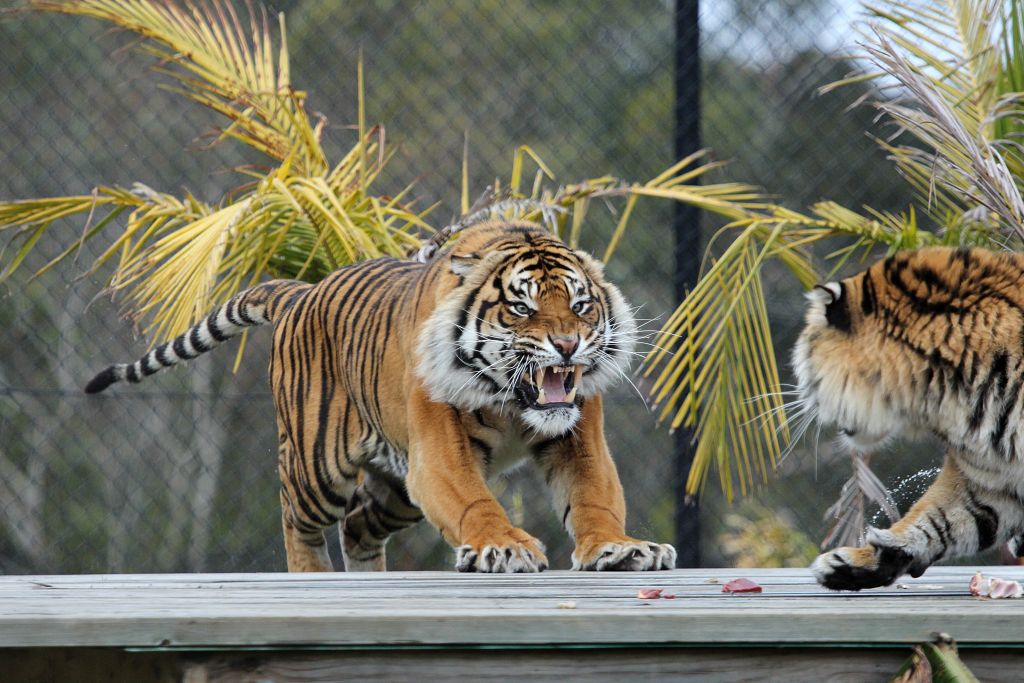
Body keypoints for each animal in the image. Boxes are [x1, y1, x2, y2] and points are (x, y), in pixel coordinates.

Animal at [85, 219, 677, 573]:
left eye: (580, 305)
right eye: (521, 308)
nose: (568, 345)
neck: (513, 401)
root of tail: (302, 292)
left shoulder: (578, 437)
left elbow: (595, 496)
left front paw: (620, 549)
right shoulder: (439, 453)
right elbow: (475, 502)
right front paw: (504, 546)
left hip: (396, 490)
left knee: (358, 527)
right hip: (316, 466)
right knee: (296, 516)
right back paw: (312, 575)